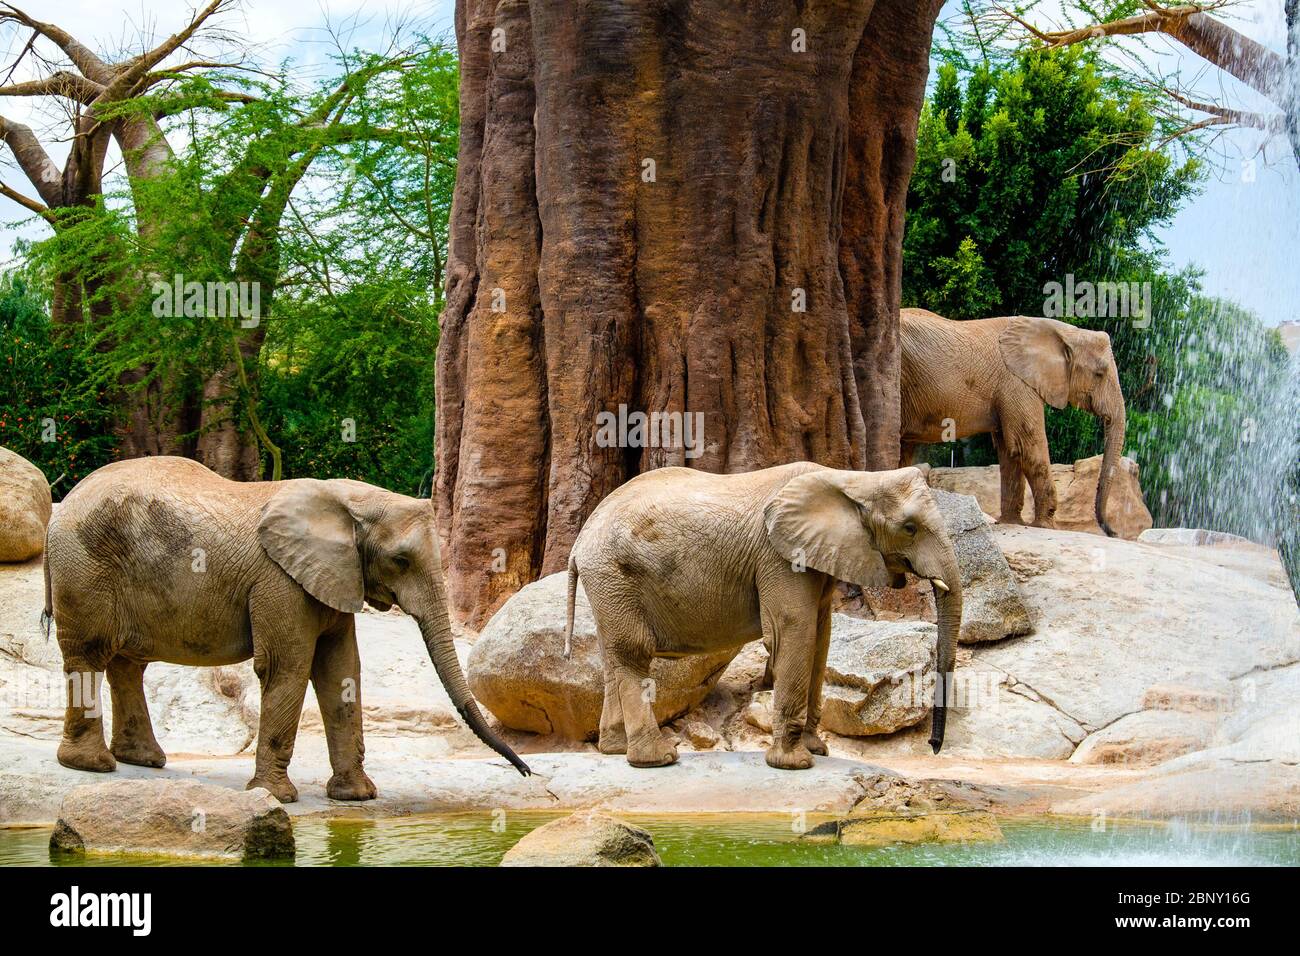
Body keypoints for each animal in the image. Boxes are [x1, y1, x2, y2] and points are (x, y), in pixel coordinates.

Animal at [45, 455, 530, 801]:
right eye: (401, 561)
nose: (527, 770)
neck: (347, 499)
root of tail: (60, 507)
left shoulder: (330, 578)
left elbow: (340, 671)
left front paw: (356, 797)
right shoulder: (280, 581)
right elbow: (288, 667)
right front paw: (276, 798)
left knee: (127, 664)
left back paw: (143, 761)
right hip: (84, 569)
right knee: (90, 654)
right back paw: (92, 766)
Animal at [564, 463, 961, 770]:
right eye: (910, 528)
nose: (933, 747)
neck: (852, 479)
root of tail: (579, 542)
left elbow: (821, 636)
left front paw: (816, 751)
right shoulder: (780, 557)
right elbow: (793, 631)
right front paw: (795, 765)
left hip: (609, 585)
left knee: (613, 656)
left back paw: (615, 749)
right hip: (614, 573)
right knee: (633, 651)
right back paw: (658, 759)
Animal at [899, 310, 1123, 535]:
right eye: (1099, 374)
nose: (1112, 532)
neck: (1062, 331)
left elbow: (1010, 450)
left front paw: (1012, 522)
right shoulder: (1018, 384)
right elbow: (1028, 446)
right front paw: (1046, 526)